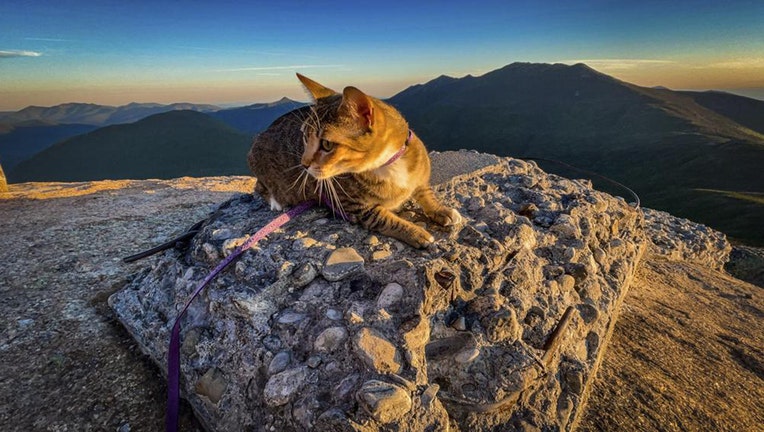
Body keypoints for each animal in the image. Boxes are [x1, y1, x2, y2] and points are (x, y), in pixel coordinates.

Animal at [248, 74, 460, 248]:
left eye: (326, 144)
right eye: (305, 137)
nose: (304, 164)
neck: (388, 165)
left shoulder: (419, 176)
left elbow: (425, 192)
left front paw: (441, 210)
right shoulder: (354, 207)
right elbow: (385, 219)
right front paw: (415, 232)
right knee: (260, 187)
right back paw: (276, 202)